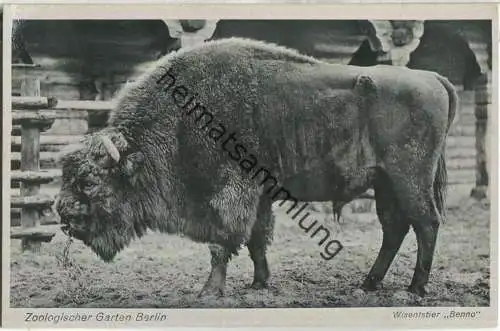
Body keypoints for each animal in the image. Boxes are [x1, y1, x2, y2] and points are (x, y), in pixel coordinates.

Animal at [55, 37, 458, 300]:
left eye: (88, 182)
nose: (62, 215)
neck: (181, 120)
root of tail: (433, 78)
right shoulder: (260, 196)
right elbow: (256, 240)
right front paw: (259, 283)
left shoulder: (230, 194)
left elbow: (223, 242)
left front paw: (209, 291)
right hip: (385, 182)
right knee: (395, 229)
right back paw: (369, 284)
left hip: (410, 179)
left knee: (426, 223)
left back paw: (415, 289)